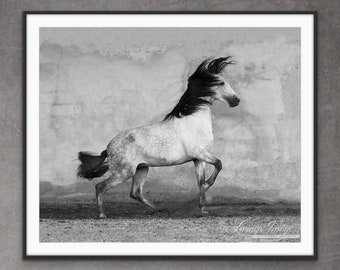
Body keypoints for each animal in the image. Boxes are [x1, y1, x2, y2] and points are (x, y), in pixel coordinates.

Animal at [78, 56, 240, 217]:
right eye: (221, 82)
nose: (236, 100)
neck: (193, 120)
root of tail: (108, 148)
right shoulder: (199, 153)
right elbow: (219, 164)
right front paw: (205, 193)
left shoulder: (198, 159)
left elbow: (201, 182)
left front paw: (203, 208)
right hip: (123, 172)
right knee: (100, 186)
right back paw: (102, 214)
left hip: (142, 169)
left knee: (135, 193)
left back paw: (161, 209)